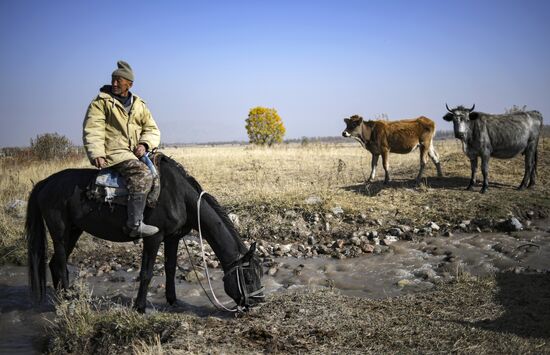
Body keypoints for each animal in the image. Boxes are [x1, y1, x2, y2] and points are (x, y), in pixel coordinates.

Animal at [25, 154, 266, 312]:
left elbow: (170, 268)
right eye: (247, 277)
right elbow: (147, 273)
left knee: (54, 263)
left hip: (74, 231)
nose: (258, 302)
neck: (180, 197)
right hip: (60, 230)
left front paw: (173, 301)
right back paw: (67, 300)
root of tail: (45, 183)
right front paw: (139, 307)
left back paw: (62, 299)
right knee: (61, 264)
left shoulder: (173, 237)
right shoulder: (154, 238)